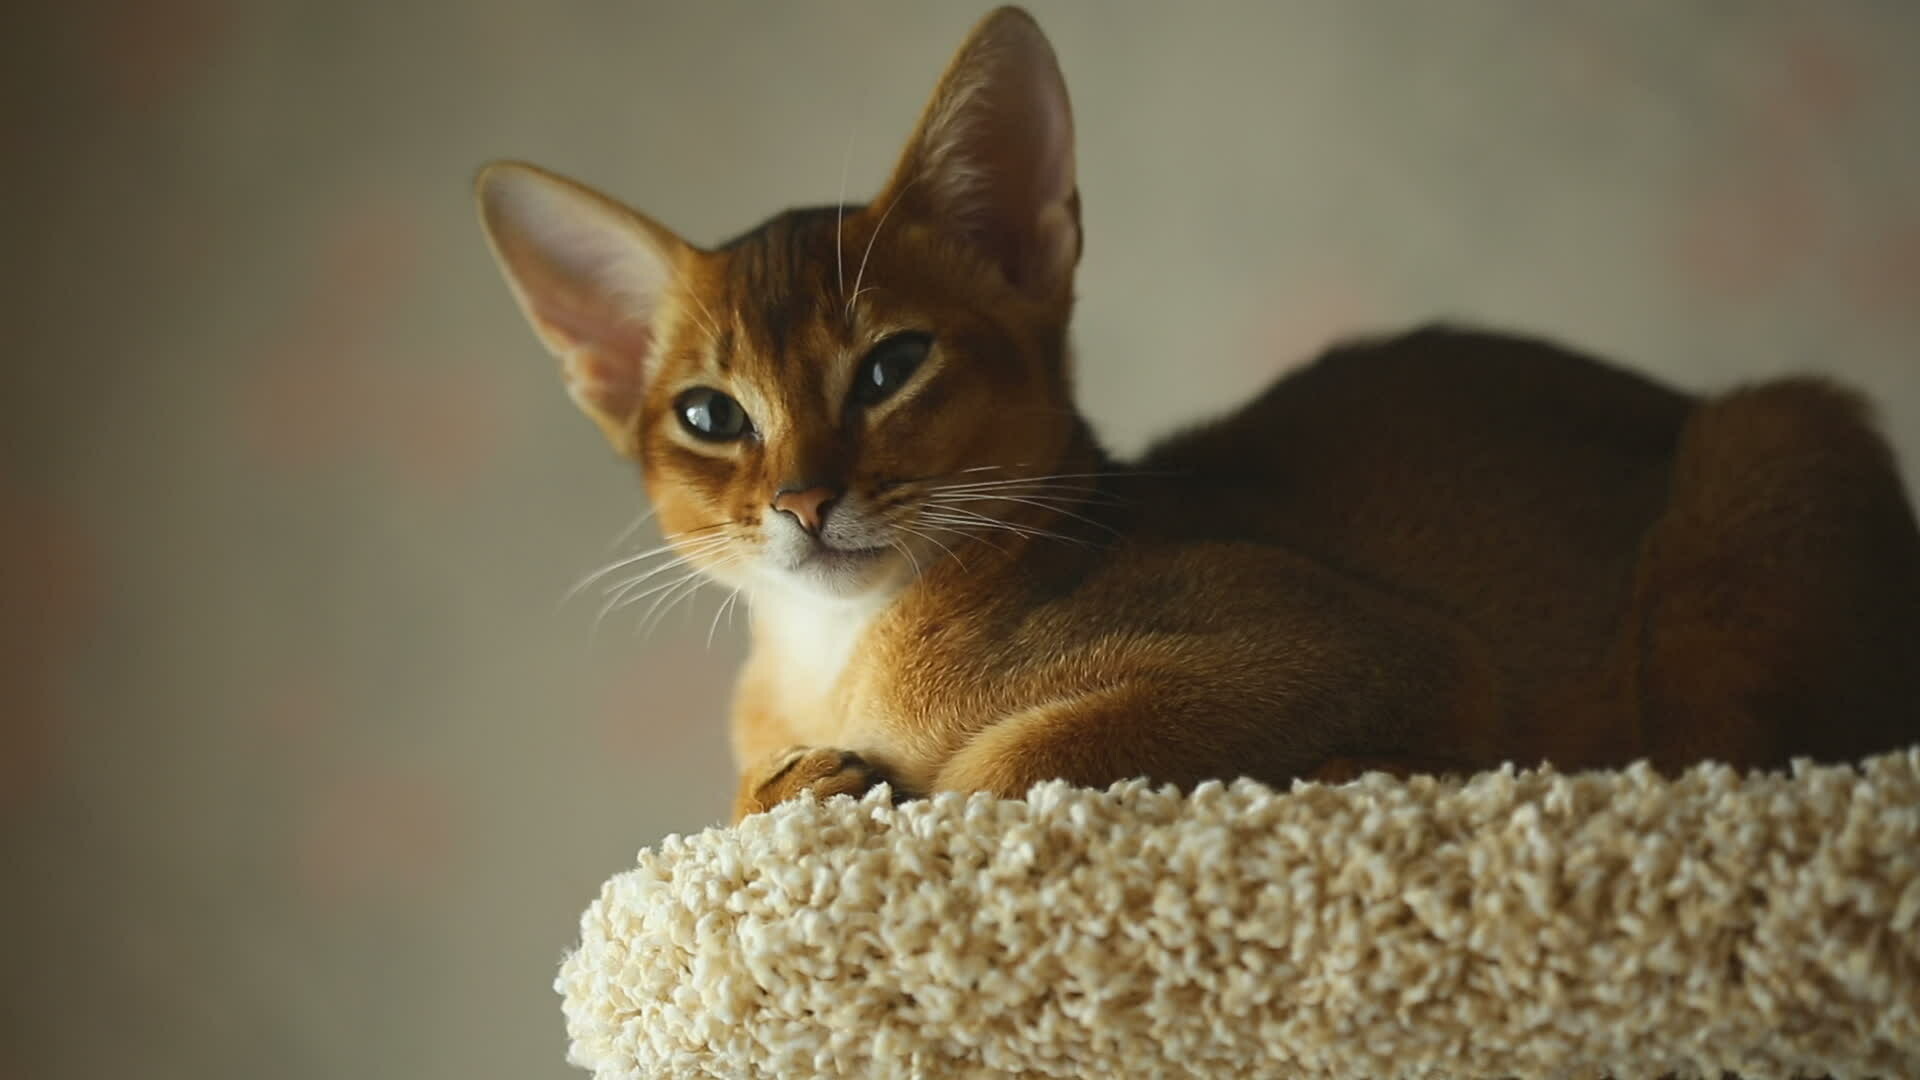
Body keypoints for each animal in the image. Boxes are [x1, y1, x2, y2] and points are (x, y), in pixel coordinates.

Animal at [476, 4, 1920, 818]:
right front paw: (793, 789)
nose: (802, 500)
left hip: (1770, 451)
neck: (841, 659)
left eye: (889, 368)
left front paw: (875, 789)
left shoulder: (1363, 646)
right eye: (710, 416)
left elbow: (1012, 765)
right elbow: (747, 803)